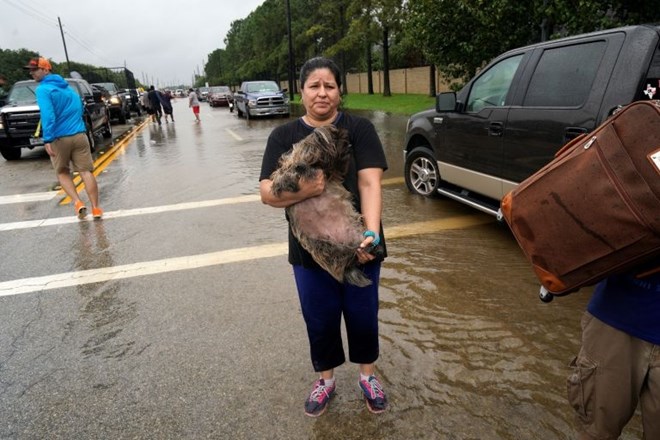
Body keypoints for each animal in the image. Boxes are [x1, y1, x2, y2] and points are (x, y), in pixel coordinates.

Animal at [268, 125, 372, 288]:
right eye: (337, 139)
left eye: (345, 138)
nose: (349, 145)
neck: (314, 163)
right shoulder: (287, 168)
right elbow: (283, 174)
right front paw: (292, 176)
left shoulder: (333, 171)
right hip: (322, 244)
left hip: (350, 238)